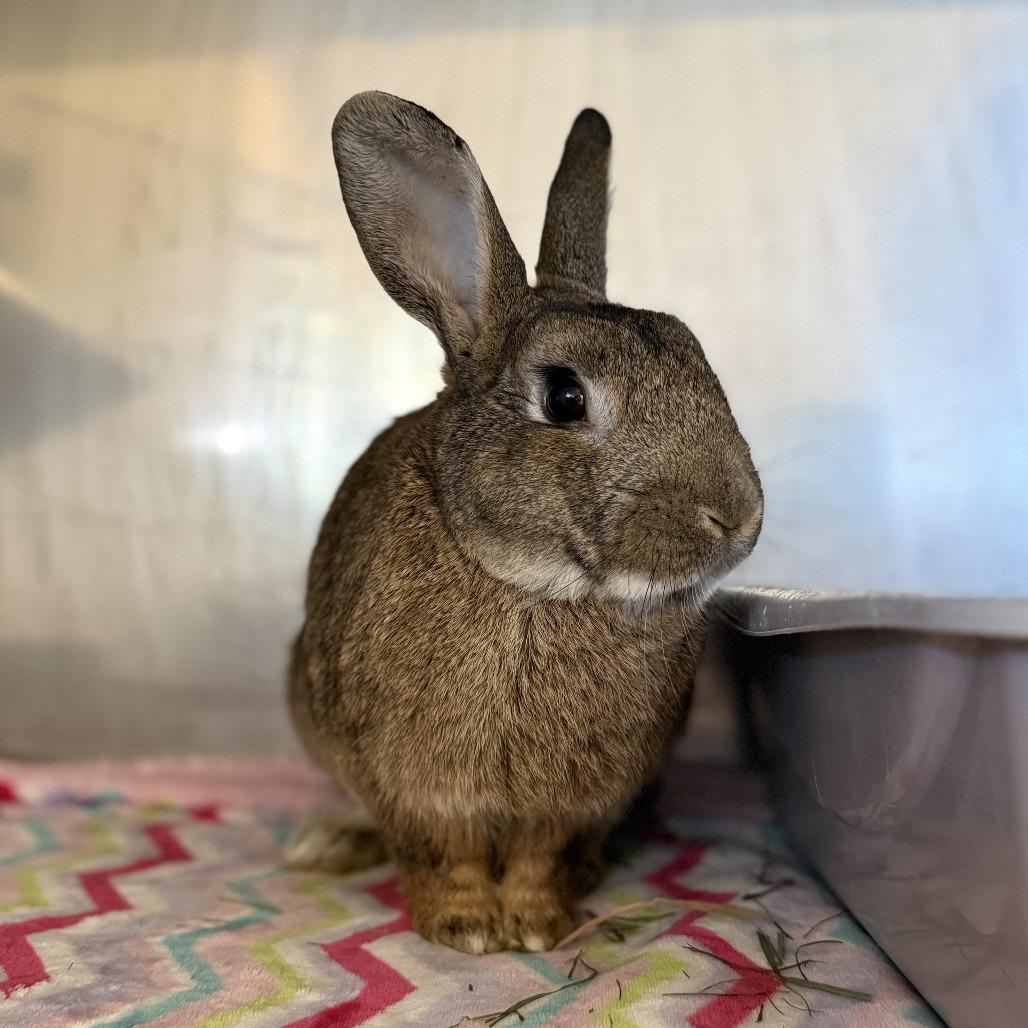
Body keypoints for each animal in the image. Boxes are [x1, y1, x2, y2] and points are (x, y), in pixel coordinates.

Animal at [285, 91, 763, 955]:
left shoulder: (570, 805)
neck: (537, 588)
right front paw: (467, 931)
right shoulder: (422, 789)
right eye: (565, 398)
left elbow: (542, 858)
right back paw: (328, 843)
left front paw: (539, 928)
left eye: (698, 359)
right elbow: (447, 856)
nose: (739, 517)